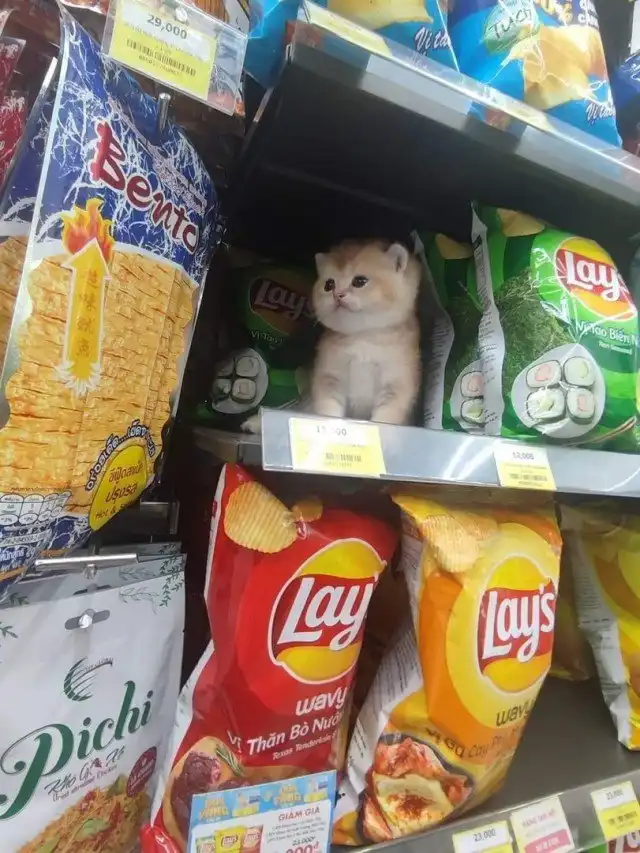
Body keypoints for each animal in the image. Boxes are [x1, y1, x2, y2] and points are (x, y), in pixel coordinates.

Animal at [310, 239, 421, 425]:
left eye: (360, 281)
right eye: (329, 285)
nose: (337, 295)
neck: (363, 338)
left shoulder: (396, 383)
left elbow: (386, 417)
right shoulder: (330, 377)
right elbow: (328, 409)